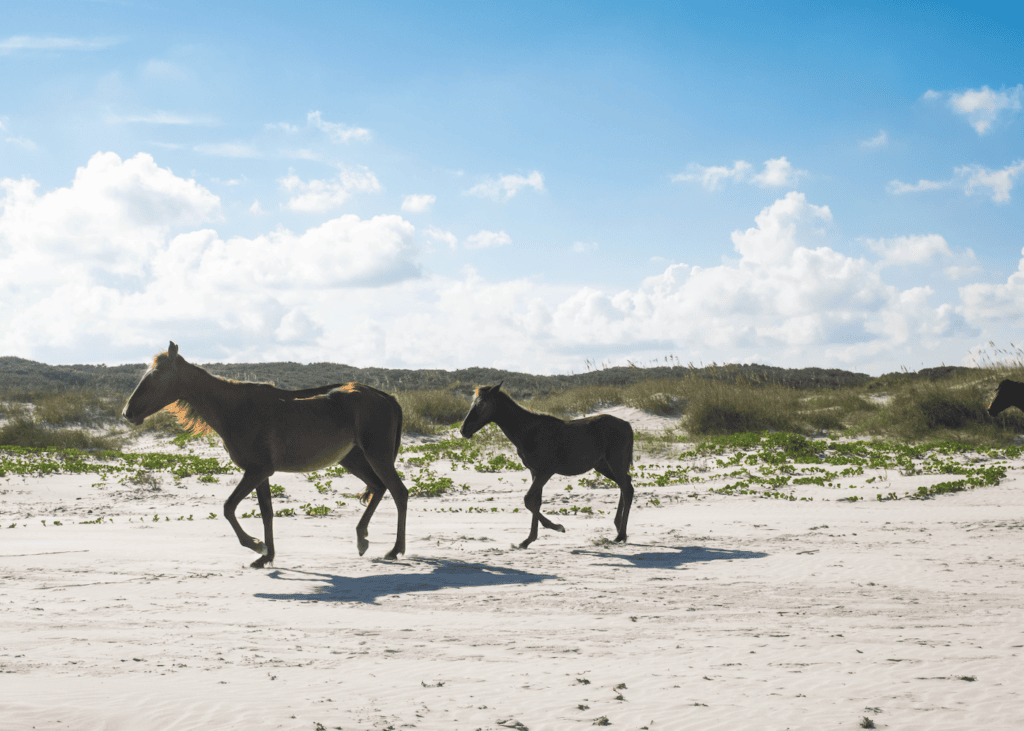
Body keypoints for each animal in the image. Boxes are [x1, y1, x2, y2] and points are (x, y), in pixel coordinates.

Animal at [122, 341, 409, 566]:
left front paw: (256, 545)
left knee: (398, 492)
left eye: (156, 374)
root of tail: (387, 397)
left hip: (377, 455)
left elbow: (228, 508)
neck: (234, 409)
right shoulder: (261, 473)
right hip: (352, 459)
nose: (128, 412)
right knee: (379, 488)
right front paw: (266, 556)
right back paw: (362, 538)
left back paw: (395, 550)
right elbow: (267, 513)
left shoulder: (257, 470)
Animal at [459, 382, 634, 549]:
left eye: (482, 404)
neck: (528, 432)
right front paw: (528, 540)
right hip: (603, 466)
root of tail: (627, 424)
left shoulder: (545, 472)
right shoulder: (535, 472)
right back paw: (619, 529)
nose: (463, 430)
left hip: (615, 463)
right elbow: (536, 502)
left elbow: (528, 500)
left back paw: (620, 534)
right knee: (625, 485)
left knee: (627, 489)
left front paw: (557, 527)